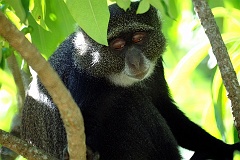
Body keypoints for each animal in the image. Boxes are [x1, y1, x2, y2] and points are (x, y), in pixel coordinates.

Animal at [21, 1, 240, 160]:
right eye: (117, 46)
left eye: (138, 39)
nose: (135, 62)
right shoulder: (81, 81)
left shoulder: (156, 68)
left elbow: (165, 108)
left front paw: (223, 148)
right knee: (129, 100)